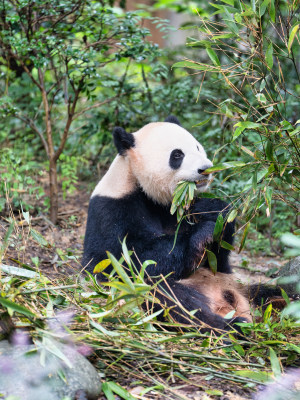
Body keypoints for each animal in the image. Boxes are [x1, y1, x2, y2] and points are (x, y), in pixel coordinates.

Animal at [83, 116, 290, 334]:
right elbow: (129, 260)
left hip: (245, 287)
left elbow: (219, 256)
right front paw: (202, 235)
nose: (206, 169)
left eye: (197, 147)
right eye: (177, 155)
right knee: (170, 299)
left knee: (276, 291)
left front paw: (216, 214)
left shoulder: (185, 208)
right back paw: (229, 327)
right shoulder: (113, 210)